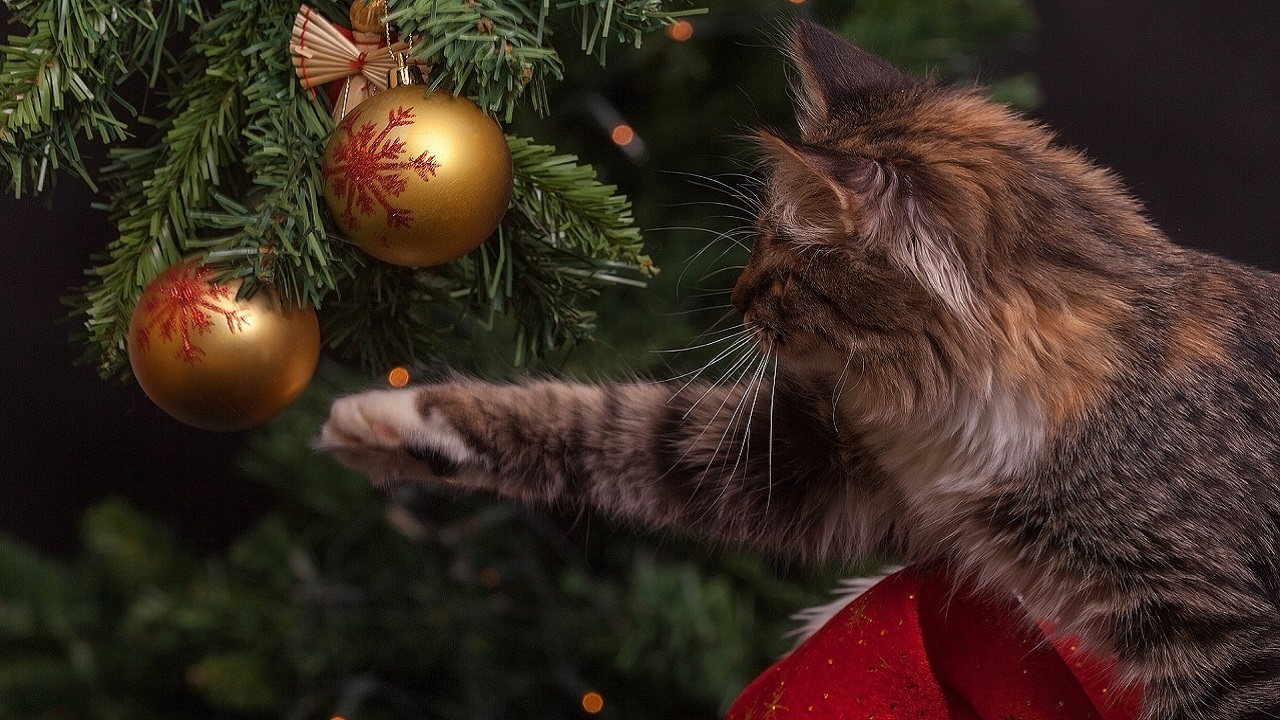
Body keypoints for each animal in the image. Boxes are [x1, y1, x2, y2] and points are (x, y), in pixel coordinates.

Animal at [314, 22, 1280, 717]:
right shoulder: (827, 462)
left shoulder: (1226, 634)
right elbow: (609, 425)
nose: (735, 299)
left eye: (778, 261)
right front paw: (392, 422)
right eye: (754, 244)